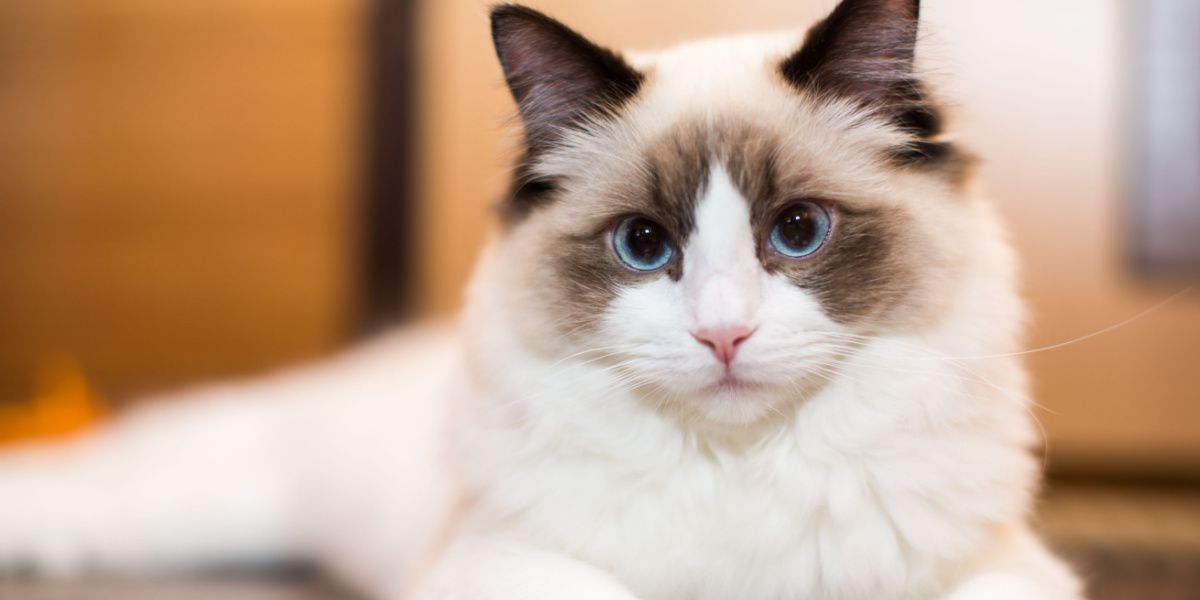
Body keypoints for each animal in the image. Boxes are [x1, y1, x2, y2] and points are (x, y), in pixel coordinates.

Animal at [2, 0, 1089, 597]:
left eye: (798, 232)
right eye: (644, 246)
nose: (724, 334)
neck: (739, 472)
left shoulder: (1012, 574)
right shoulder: (501, 567)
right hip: (212, 489)